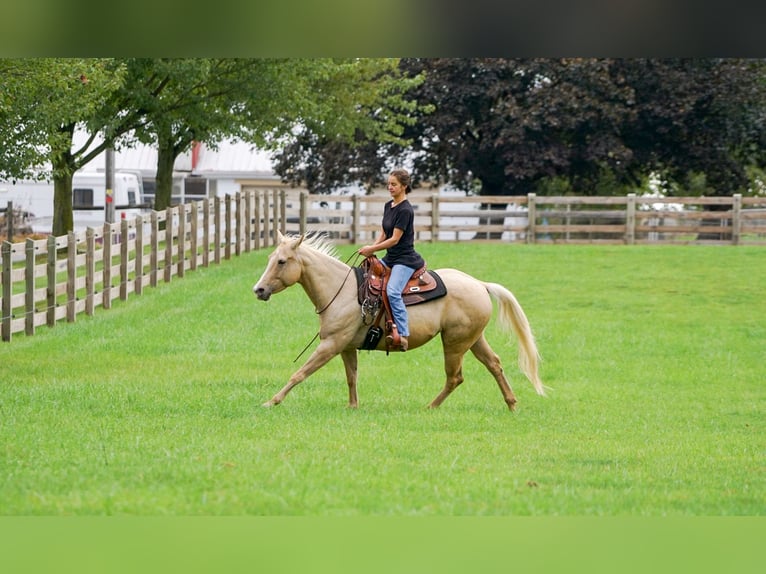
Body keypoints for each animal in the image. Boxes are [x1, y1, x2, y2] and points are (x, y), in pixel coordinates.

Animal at [253, 231, 545, 410]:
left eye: (281, 261)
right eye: (269, 258)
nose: (259, 290)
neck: (342, 291)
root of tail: (480, 284)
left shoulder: (331, 344)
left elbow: (300, 373)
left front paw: (272, 401)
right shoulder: (346, 347)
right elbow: (351, 377)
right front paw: (353, 406)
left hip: (454, 343)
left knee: (455, 377)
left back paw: (430, 407)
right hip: (473, 339)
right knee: (494, 364)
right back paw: (511, 403)